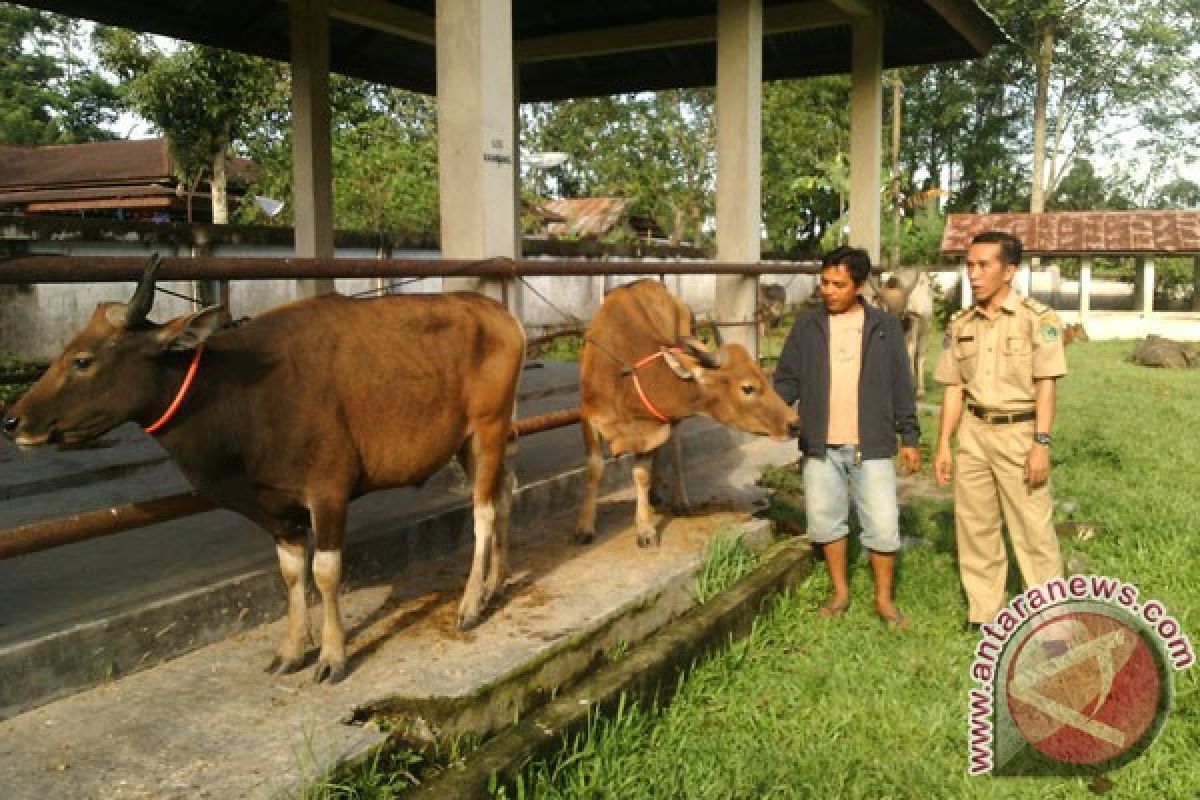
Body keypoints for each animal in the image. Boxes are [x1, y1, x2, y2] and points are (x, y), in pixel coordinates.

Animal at [4, 256, 523, 681]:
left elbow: (326, 572)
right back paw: (495, 585)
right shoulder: (274, 508)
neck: (243, 394)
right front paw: (293, 650)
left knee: (483, 511)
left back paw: (469, 604)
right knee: (503, 495)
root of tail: (501, 317)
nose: (13, 421)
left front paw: (332, 656)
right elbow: (292, 573)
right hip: (468, 442)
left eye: (83, 360)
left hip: (488, 428)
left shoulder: (328, 492)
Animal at [573, 278, 796, 546]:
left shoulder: (652, 429)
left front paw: (645, 528)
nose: (794, 423)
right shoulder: (588, 415)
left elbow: (641, 474)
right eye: (748, 387)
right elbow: (594, 469)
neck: (625, 377)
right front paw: (585, 526)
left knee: (675, 450)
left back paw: (678, 499)